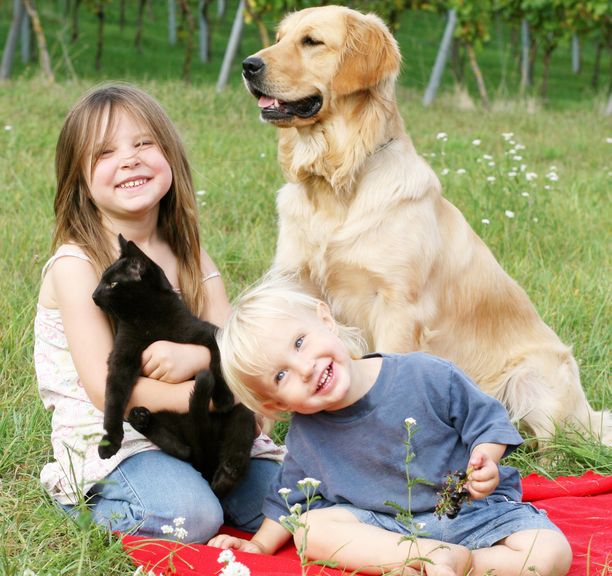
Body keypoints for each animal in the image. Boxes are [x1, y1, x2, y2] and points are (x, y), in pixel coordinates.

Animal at [91, 233, 253, 496]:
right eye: (101, 281)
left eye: (112, 284)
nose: (93, 294)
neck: (146, 318)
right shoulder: (121, 358)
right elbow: (113, 399)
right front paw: (109, 442)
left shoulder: (211, 333)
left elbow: (218, 361)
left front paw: (223, 398)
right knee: (183, 451)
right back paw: (141, 419)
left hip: (243, 416)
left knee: (232, 455)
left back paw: (226, 472)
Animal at [241, 4, 608, 440]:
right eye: (280, 37)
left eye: (311, 41)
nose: (248, 65)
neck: (337, 184)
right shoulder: (296, 282)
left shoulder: (398, 305)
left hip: (533, 377)